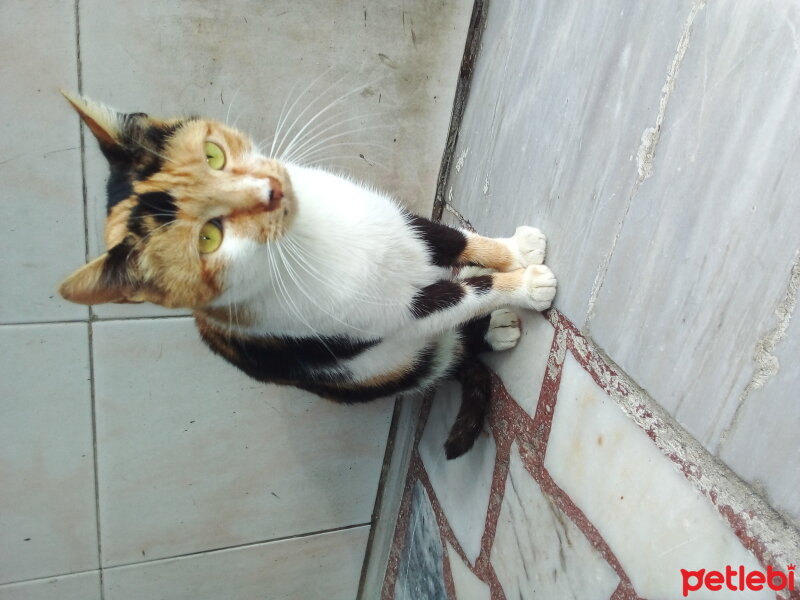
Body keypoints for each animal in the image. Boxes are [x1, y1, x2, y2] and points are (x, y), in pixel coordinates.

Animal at [57, 92, 556, 460]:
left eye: (213, 154)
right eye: (208, 238)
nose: (271, 190)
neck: (304, 237)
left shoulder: (398, 223)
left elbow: (448, 238)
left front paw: (513, 250)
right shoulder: (391, 316)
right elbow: (463, 296)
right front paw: (525, 286)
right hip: (377, 370)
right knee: (443, 353)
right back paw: (490, 330)